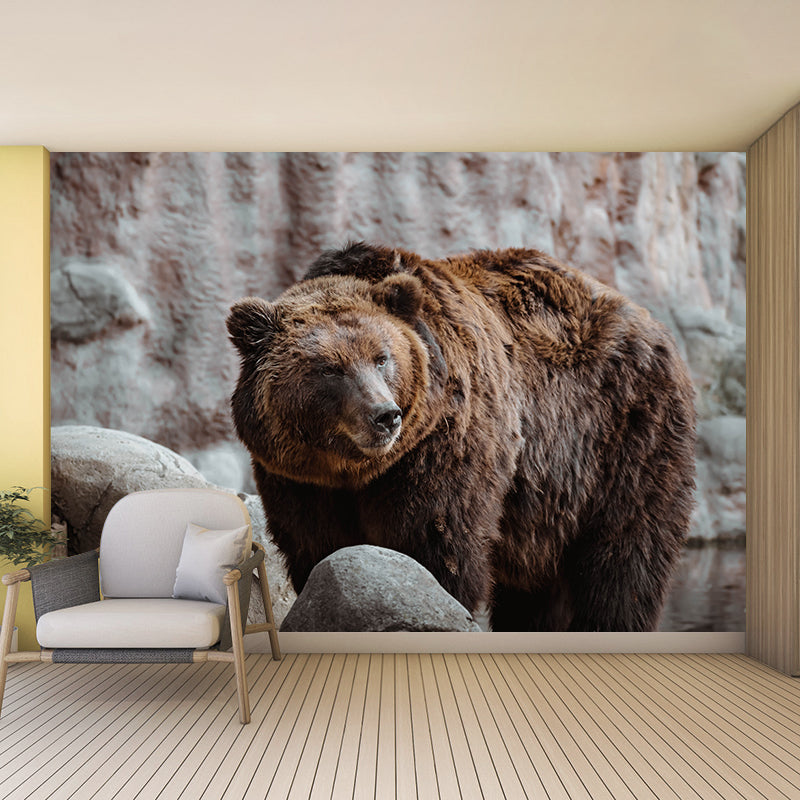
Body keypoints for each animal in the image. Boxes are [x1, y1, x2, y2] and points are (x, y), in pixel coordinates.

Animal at [227, 242, 696, 631]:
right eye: (329, 368)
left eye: (382, 358)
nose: (385, 416)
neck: (354, 470)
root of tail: (653, 324)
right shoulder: (299, 479)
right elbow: (316, 547)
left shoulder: (442, 445)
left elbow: (437, 542)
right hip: (549, 506)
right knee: (537, 589)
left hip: (623, 439)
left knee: (624, 559)